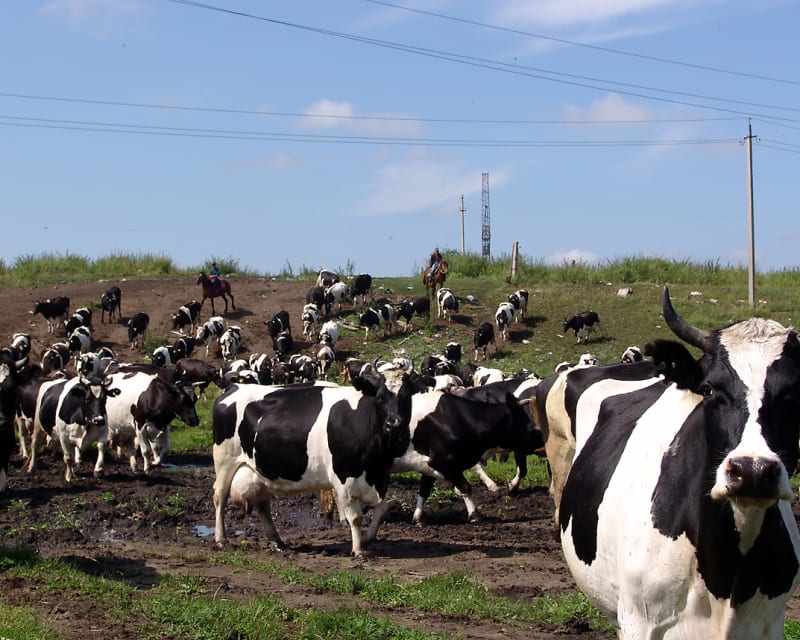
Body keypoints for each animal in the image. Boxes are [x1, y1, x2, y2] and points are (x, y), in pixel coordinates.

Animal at [211, 368, 425, 556]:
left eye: (406, 397)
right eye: (380, 397)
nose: (394, 424)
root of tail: (234, 386)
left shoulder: (380, 477)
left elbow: (382, 510)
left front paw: (366, 540)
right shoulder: (344, 478)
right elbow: (356, 517)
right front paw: (358, 550)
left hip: (259, 472)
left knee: (263, 505)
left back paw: (277, 541)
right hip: (224, 461)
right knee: (220, 496)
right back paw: (221, 540)